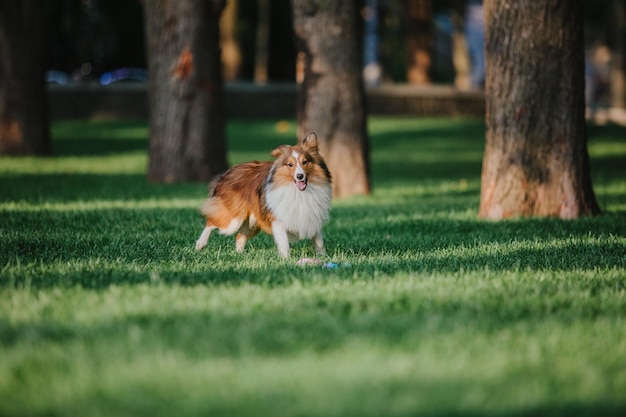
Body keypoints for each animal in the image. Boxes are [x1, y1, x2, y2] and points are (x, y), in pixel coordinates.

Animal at [194, 133, 332, 256]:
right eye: (290, 164)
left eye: (305, 162)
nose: (300, 176)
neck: (298, 192)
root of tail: (227, 172)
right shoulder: (278, 219)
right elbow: (284, 243)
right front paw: (286, 259)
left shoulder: (313, 216)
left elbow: (319, 242)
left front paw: (322, 257)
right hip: (233, 219)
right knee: (211, 222)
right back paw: (200, 244)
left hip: (252, 222)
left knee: (239, 236)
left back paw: (239, 255)